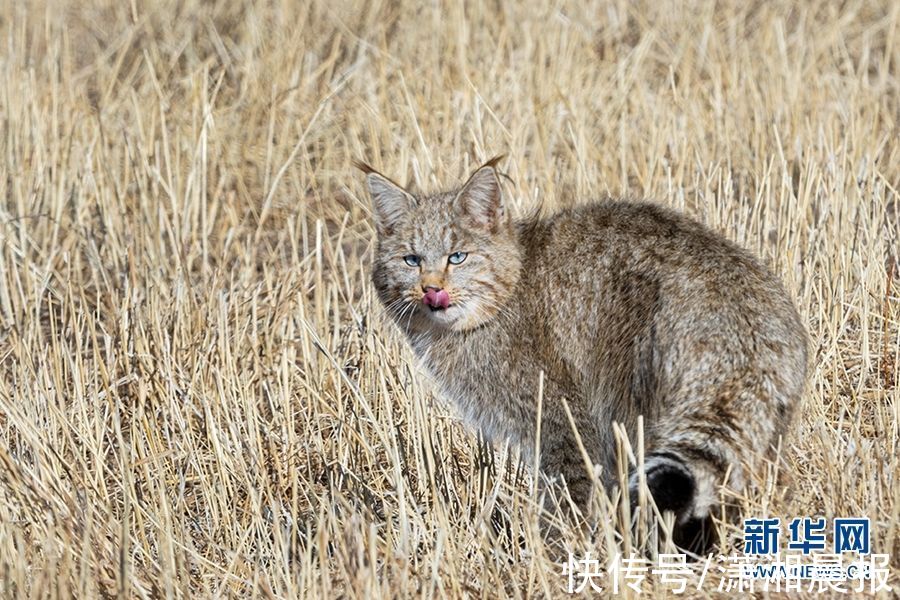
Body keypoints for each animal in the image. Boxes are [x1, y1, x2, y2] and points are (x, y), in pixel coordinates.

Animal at [358, 157, 808, 548]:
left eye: (458, 257)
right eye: (411, 260)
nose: (431, 290)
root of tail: (744, 313)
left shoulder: (564, 421)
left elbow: (568, 494)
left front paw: (556, 554)